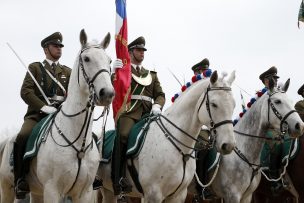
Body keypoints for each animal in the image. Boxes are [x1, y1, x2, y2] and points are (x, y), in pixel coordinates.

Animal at [0, 29, 114, 202]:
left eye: (109, 60)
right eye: (86, 58)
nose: (107, 93)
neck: (78, 142)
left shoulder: (85, 192)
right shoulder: (52, 189)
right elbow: (26, 90)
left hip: (37, 191)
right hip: (7, 188)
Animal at [98, 70, 236, 202]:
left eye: (234, 105)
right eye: (214, 104)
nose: (228, 145)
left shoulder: (178, 195)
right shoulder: (153, 194)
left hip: (109, 191)